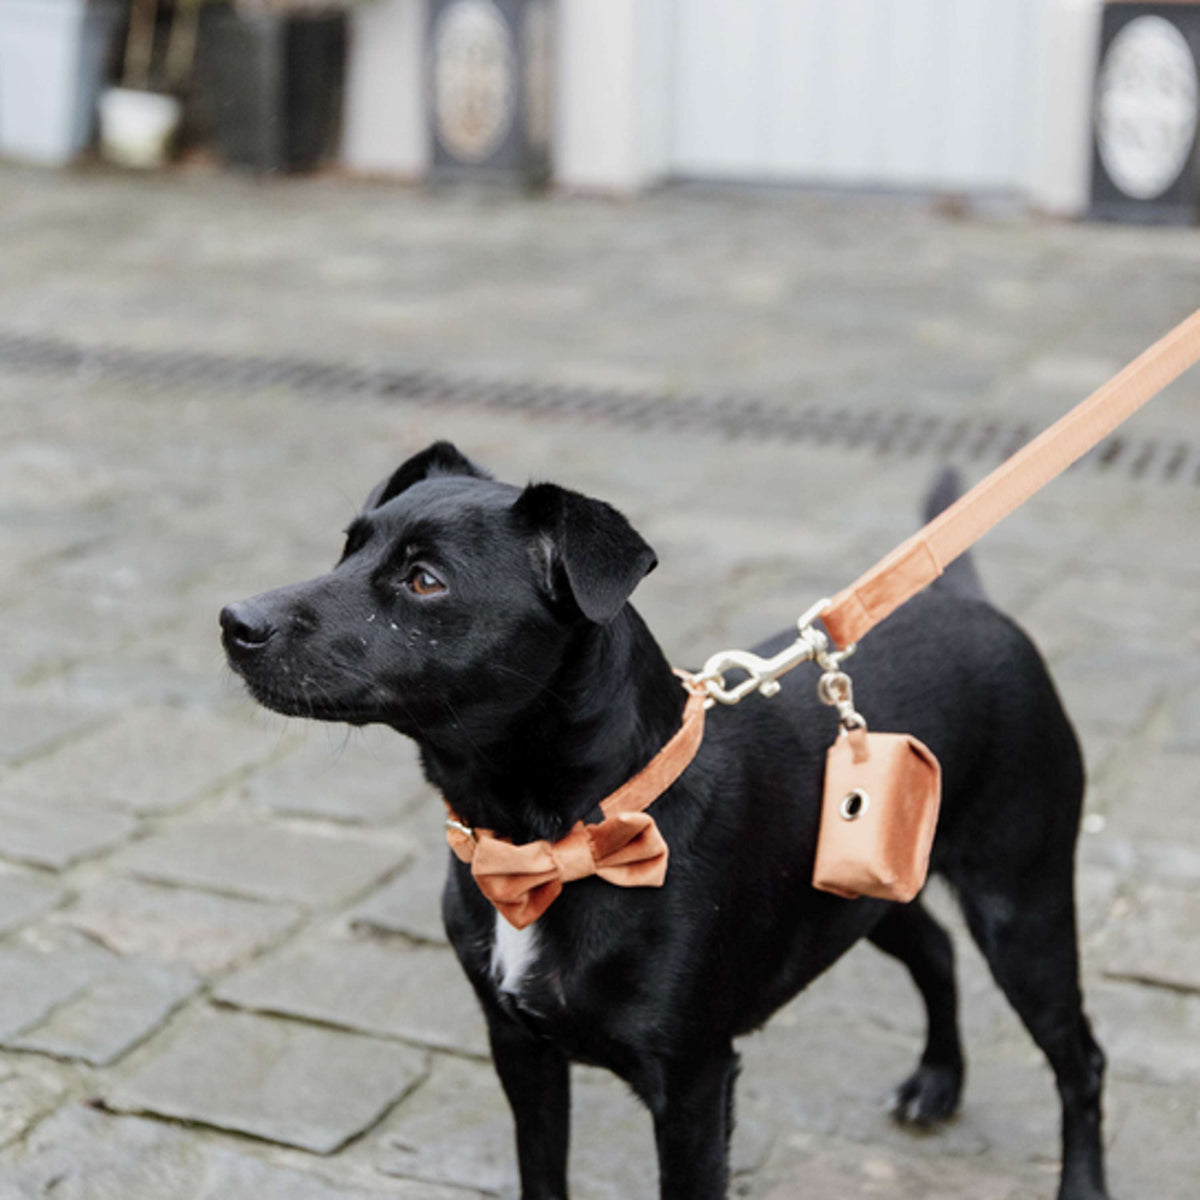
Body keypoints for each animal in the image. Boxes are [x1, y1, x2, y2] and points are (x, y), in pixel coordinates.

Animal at [223, 444, 1104, 1200]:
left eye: (424, 581)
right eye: (347, 549)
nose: (236, 620)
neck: (560, 841)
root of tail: (969, 601)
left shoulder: (691, 1086)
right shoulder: (521, 1051)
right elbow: (542, 1176)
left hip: (1023, 907)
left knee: (1080, 1060)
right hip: (865, 889)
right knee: (937, 952)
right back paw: (939, 1082)